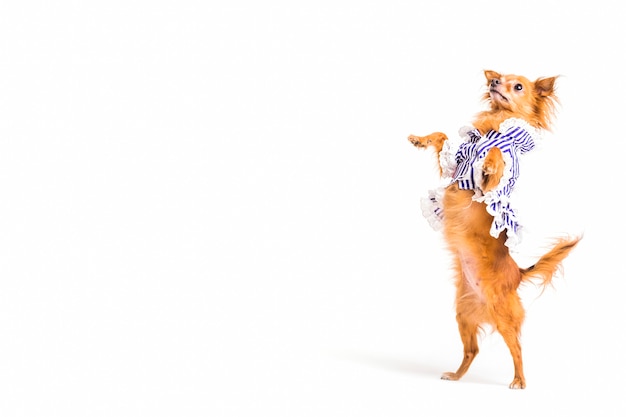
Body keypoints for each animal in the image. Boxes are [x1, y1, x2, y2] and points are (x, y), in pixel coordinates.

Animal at [408, 69, 576, 386]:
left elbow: (497, 151)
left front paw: (488, 164)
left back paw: (519, 381)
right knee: (472, 350)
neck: (492, 126)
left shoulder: (494, 180)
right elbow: (443, 137)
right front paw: (420, 139)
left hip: (504, 317)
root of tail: (518, 274)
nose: (494, 83)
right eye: (501, 78)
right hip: (463, 315)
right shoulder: (454, 166)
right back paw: (456, 375)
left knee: (517, 348)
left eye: (518, 86)